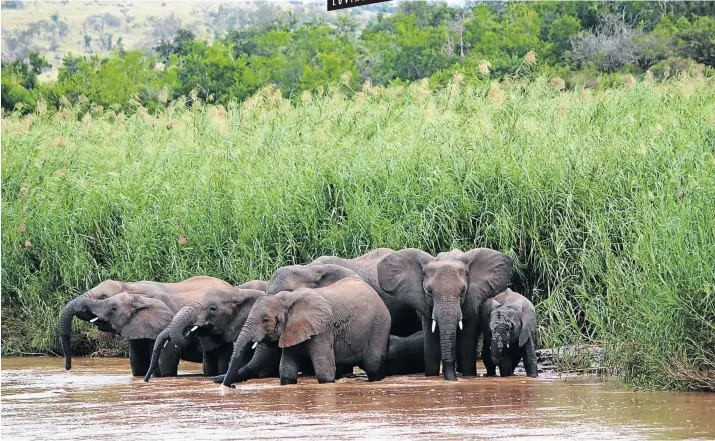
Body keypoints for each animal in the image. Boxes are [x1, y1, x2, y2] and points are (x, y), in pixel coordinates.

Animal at [224, 278, 392, 384]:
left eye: (265, 320)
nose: (232, 385)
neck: (286, 299)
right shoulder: (291, 331)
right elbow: (286, 369)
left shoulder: (322, 329)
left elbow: (324, 369)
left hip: (379, 323)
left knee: (372, 362)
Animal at [378, 248, 512, 378]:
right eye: (429, 291)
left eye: (463, 291)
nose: (453, 379)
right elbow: (431, 339)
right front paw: (432, 376)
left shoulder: (472, 300)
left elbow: (467, 339)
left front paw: (469, 375)